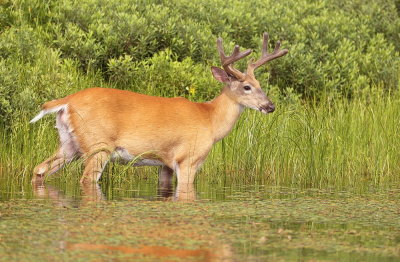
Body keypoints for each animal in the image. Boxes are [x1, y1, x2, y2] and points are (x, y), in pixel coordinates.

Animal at [31, 32, 288, 187]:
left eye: (260, 85)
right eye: (246, 86)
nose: (270, 106)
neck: (210, 120)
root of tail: (67, 101)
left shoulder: (164, 163)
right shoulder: (188, 158)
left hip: (70, 143)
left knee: (39, 169)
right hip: (98, 144)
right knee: (85, 179)